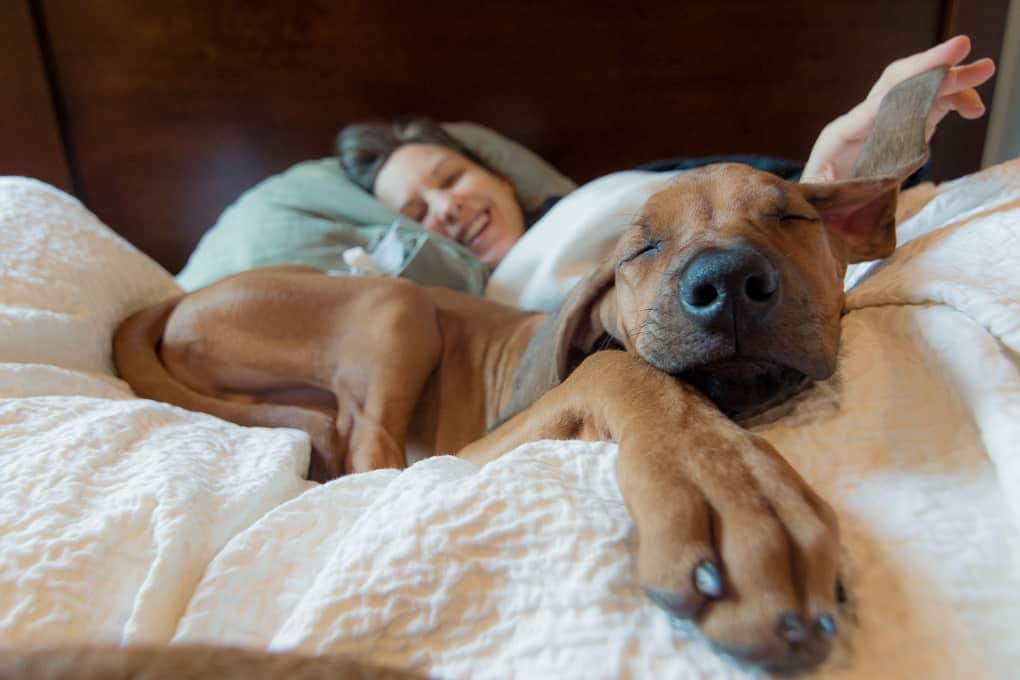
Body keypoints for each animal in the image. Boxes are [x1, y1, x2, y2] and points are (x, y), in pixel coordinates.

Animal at [111, 70, 938, 676]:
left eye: (793, 217)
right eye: (640, 250)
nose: (726, 282)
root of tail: (178, 304)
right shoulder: (494, 436)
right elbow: (633, 378)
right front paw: (737, 500)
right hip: (397, 306)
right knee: (371, 454)